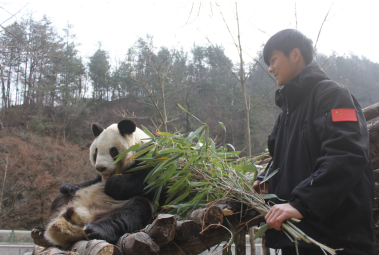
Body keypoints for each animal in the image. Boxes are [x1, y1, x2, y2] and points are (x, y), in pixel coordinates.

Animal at [30, 119, 159, 249]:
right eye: (95, 152)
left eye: (113, 151)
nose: (100, 168)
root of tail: (82, 218)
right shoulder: (98, 178)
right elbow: (92, 181)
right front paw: (68, 186)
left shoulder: (150, 156)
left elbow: (150, 182)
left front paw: (112, 184)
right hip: (71, 201)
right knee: (60, 199)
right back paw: (40, 234)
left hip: (116, 207)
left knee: (133, 210)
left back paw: (95, 229)